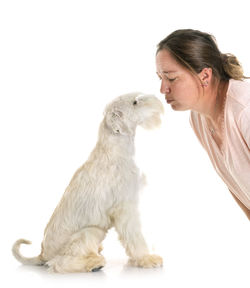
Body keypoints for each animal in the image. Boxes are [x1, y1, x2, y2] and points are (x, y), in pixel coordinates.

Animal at [12, 92, 164, 272]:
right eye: (134, 102)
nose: (157, 100)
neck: (115, 148)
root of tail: (42, 254)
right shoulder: (125, 208)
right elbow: (135, 236)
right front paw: (146, 258)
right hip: (90, 232)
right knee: (59, 263)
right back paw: (93, 263)